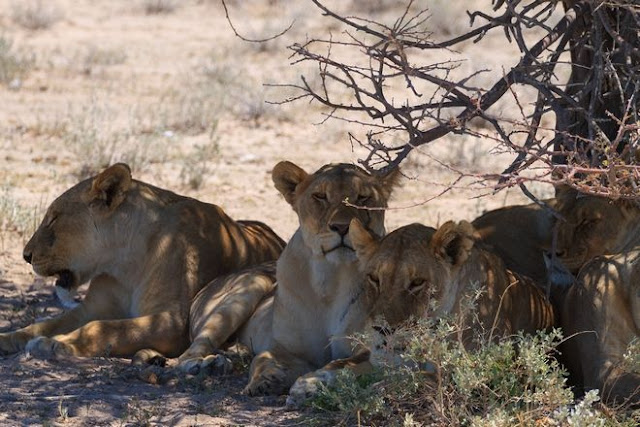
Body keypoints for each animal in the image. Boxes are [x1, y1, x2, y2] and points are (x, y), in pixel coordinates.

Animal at [0, 163, 284, 362]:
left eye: (54, 218)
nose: (26, 255)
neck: (123, 262)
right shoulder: (91, 308)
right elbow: (42, 325)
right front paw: (8, 338)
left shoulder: (172, 322)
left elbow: (103, 328)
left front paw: (54, 343)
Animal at [241, 160, 398, 398]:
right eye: (320, 196)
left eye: (363, 198)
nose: (342, 227)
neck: (332, 278)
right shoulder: (288, 348)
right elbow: (262, 358)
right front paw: (264, 381)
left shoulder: (374, 347)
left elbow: (342, 364)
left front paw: (310, 383)